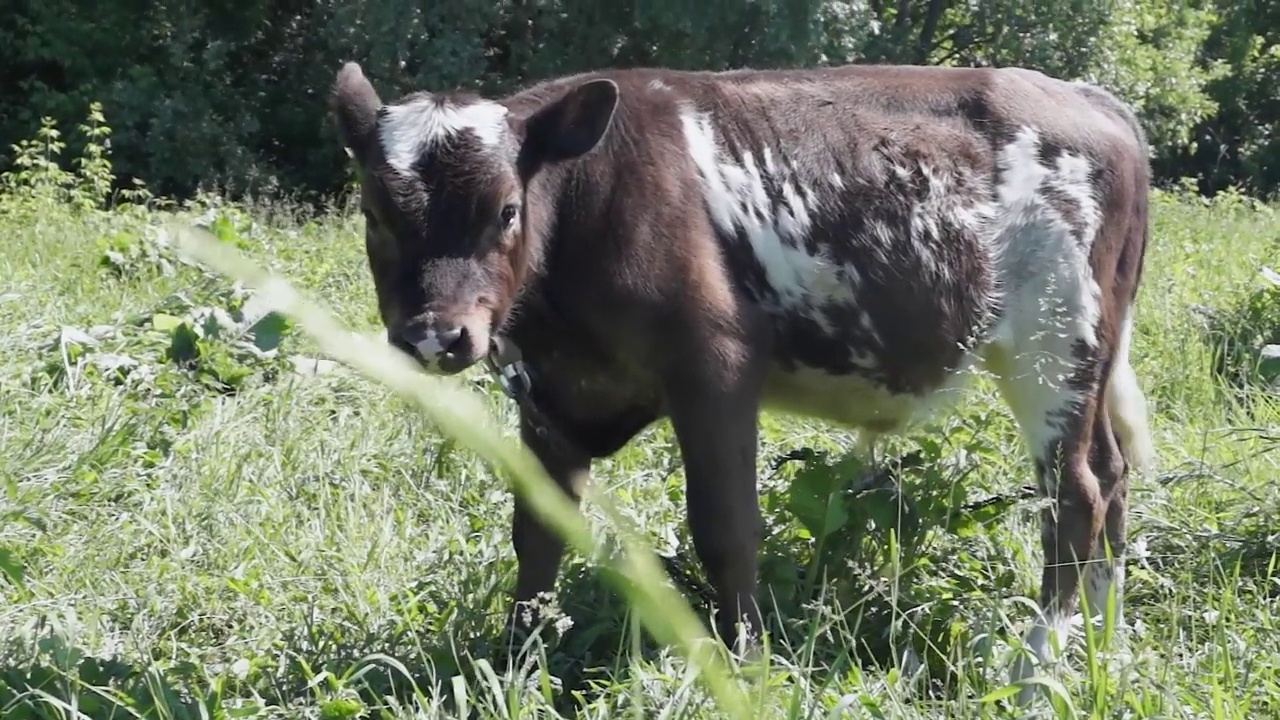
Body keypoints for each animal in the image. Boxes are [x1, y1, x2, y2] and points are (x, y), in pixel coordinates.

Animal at [327, 58, 1152, 696]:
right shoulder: (548, 395)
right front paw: (516, 667)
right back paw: (1103, 641)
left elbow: (726, 529)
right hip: (1088, 354)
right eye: (374, 212)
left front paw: (747, 666)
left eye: (504, 209)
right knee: (1112, 476)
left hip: (1054, 342)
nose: (436, 335)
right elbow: (538, 534)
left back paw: (1036, 667)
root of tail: (1085, 96)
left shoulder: (714, 367)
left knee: (1075, 494)